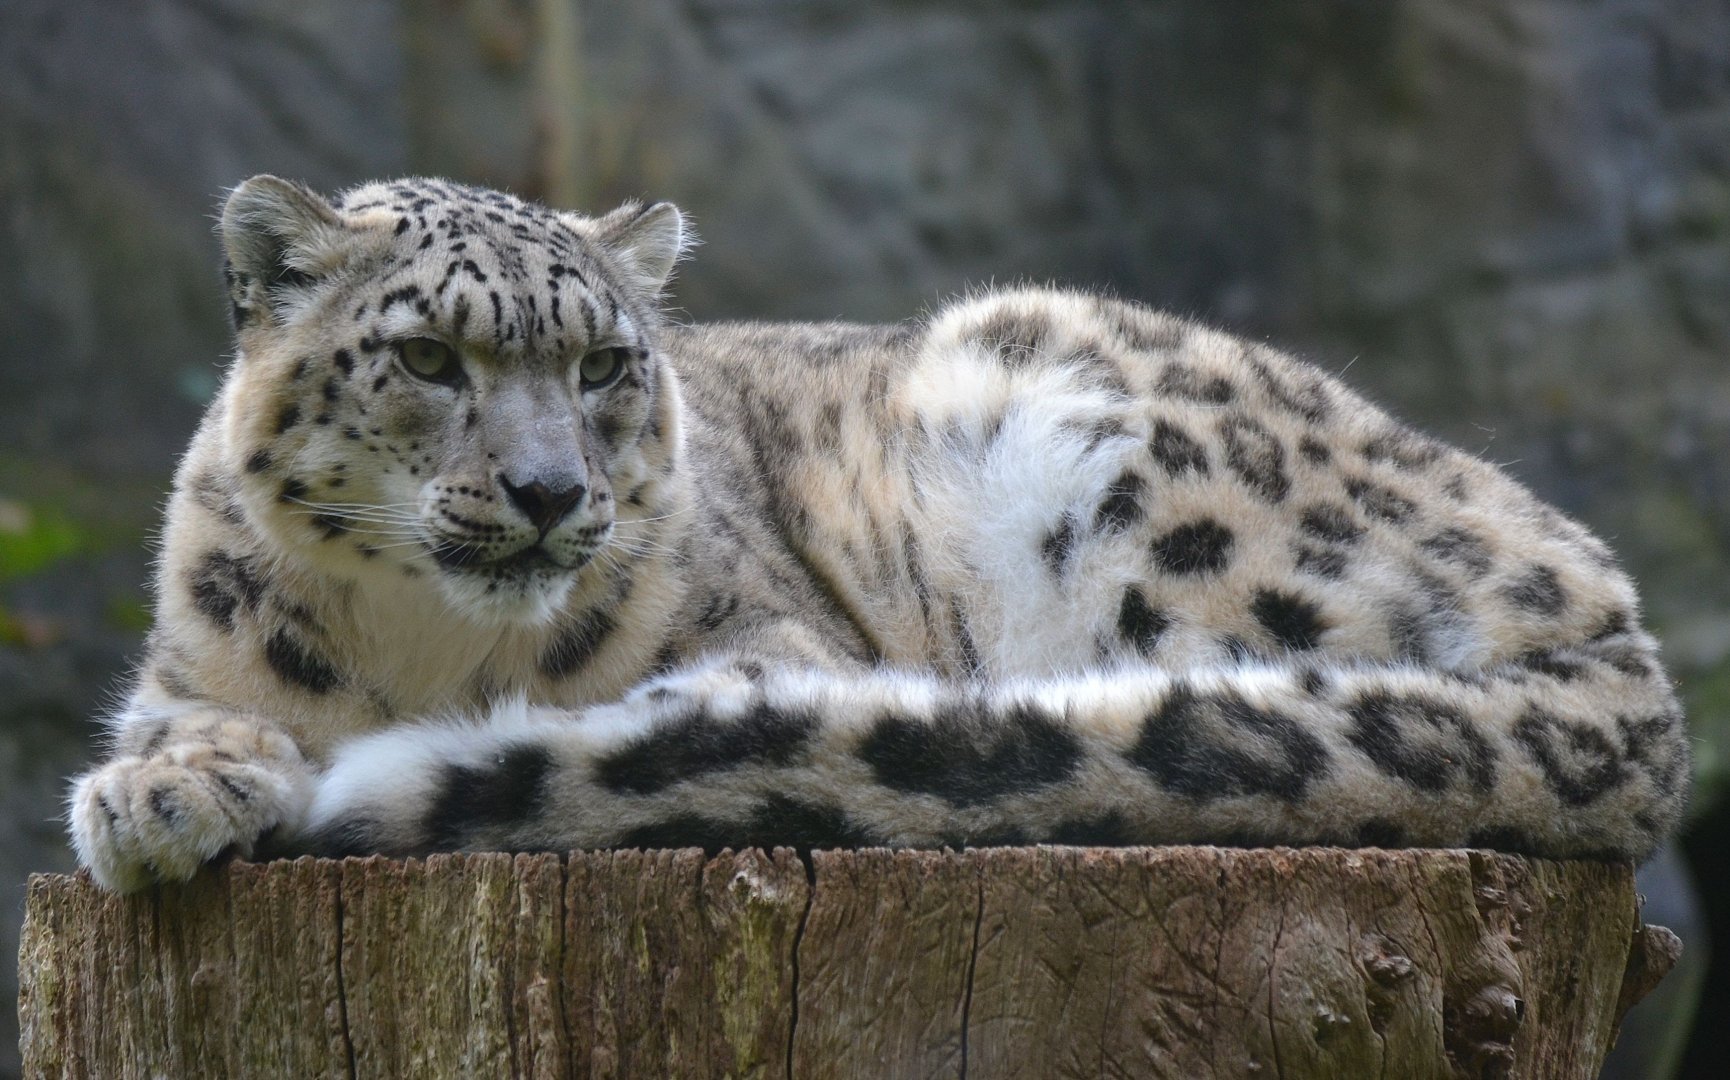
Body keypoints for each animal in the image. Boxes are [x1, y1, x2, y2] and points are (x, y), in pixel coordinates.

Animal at [66, 175, 1690, 893]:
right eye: (425, 358)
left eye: (601, 367)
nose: (546, 495)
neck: (431, 648)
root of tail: (1624, 635)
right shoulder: (186, 664)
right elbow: (180, 716)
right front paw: (161, 798)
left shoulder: (773, 636)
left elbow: (729, 691)